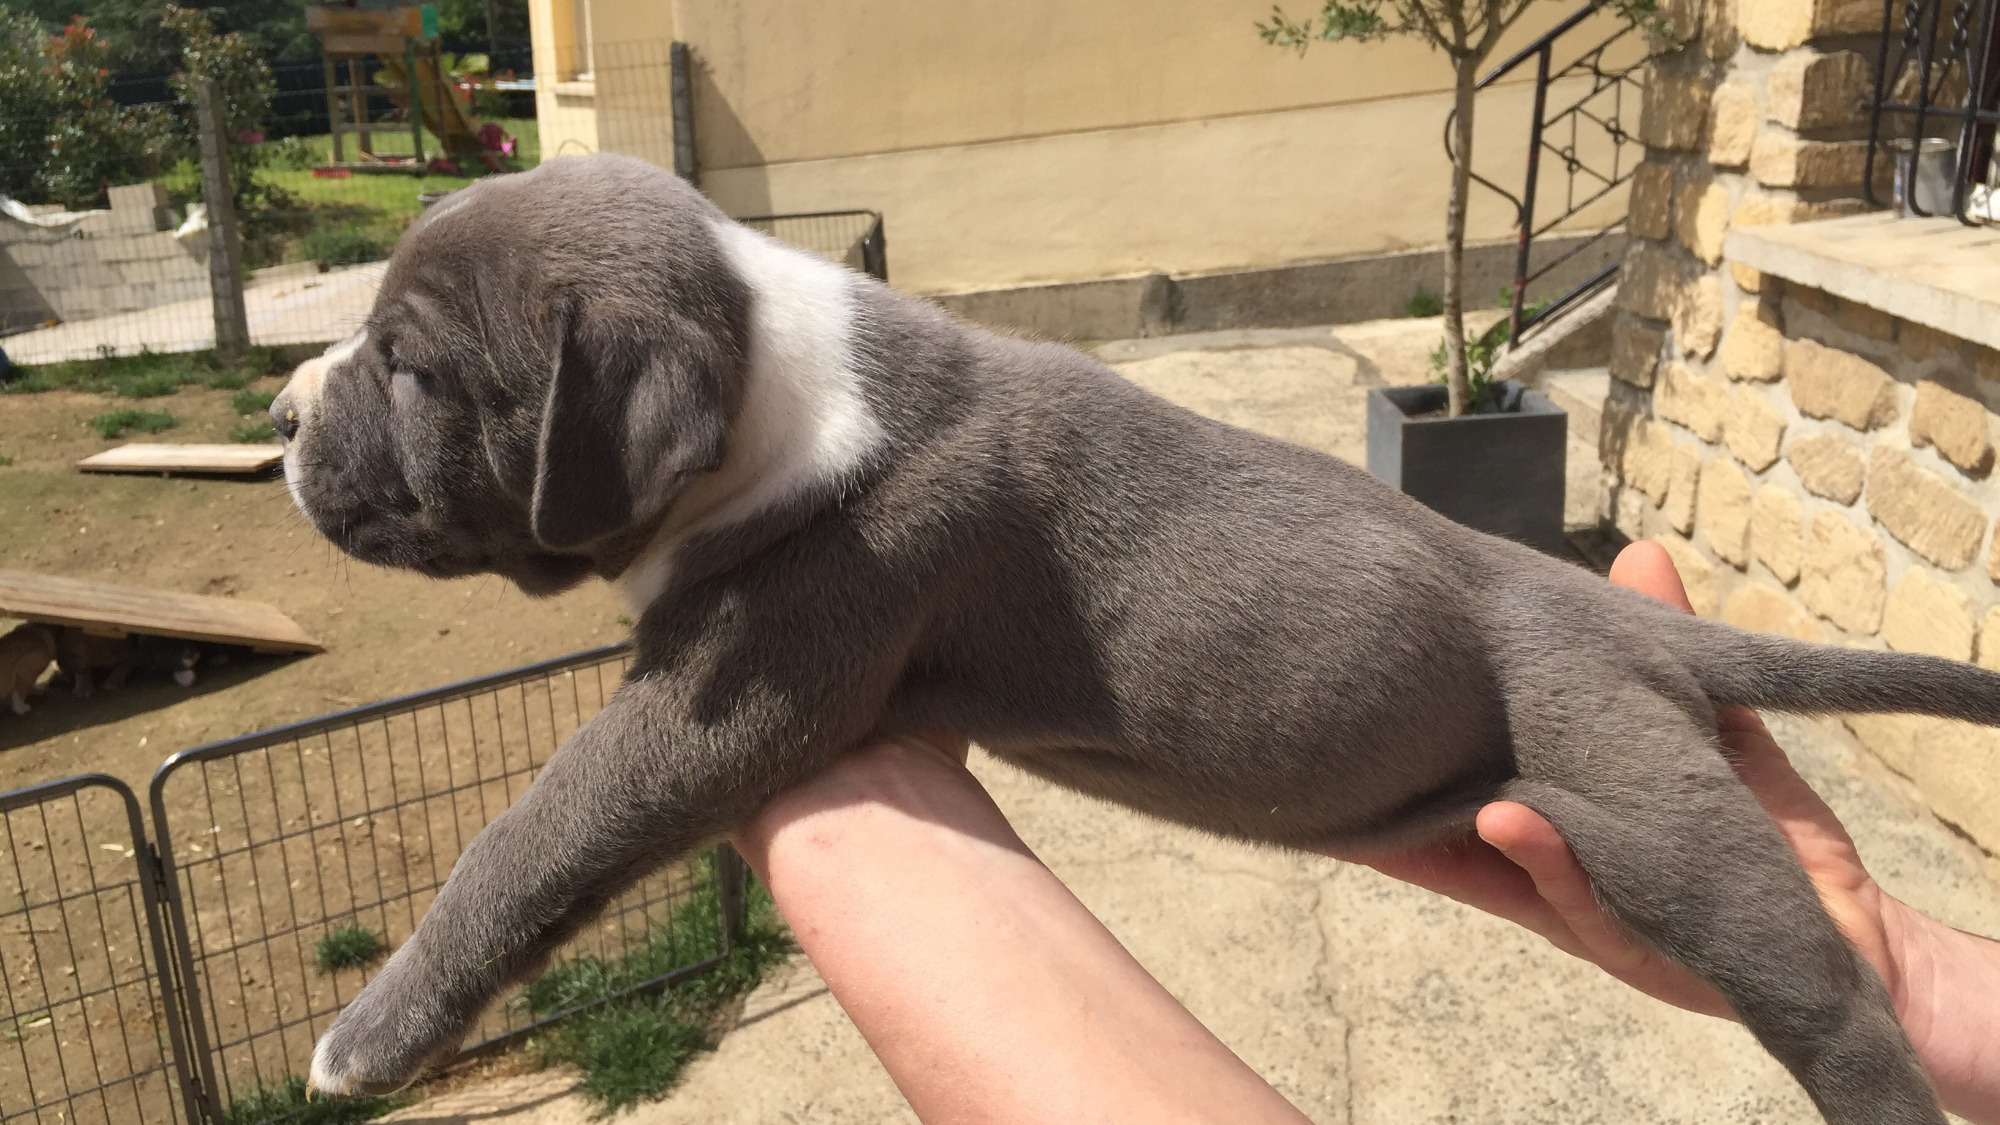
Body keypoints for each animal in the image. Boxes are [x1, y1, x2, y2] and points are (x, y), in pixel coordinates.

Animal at [286, 153, 2000, 1112]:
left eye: (412, 366)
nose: (286, 415)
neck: (771, 379)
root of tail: (1608, 606)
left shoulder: (731, 692)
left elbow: (534, 830)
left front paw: (367, 1038)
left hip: (1652, 810)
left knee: (1834, 1000)